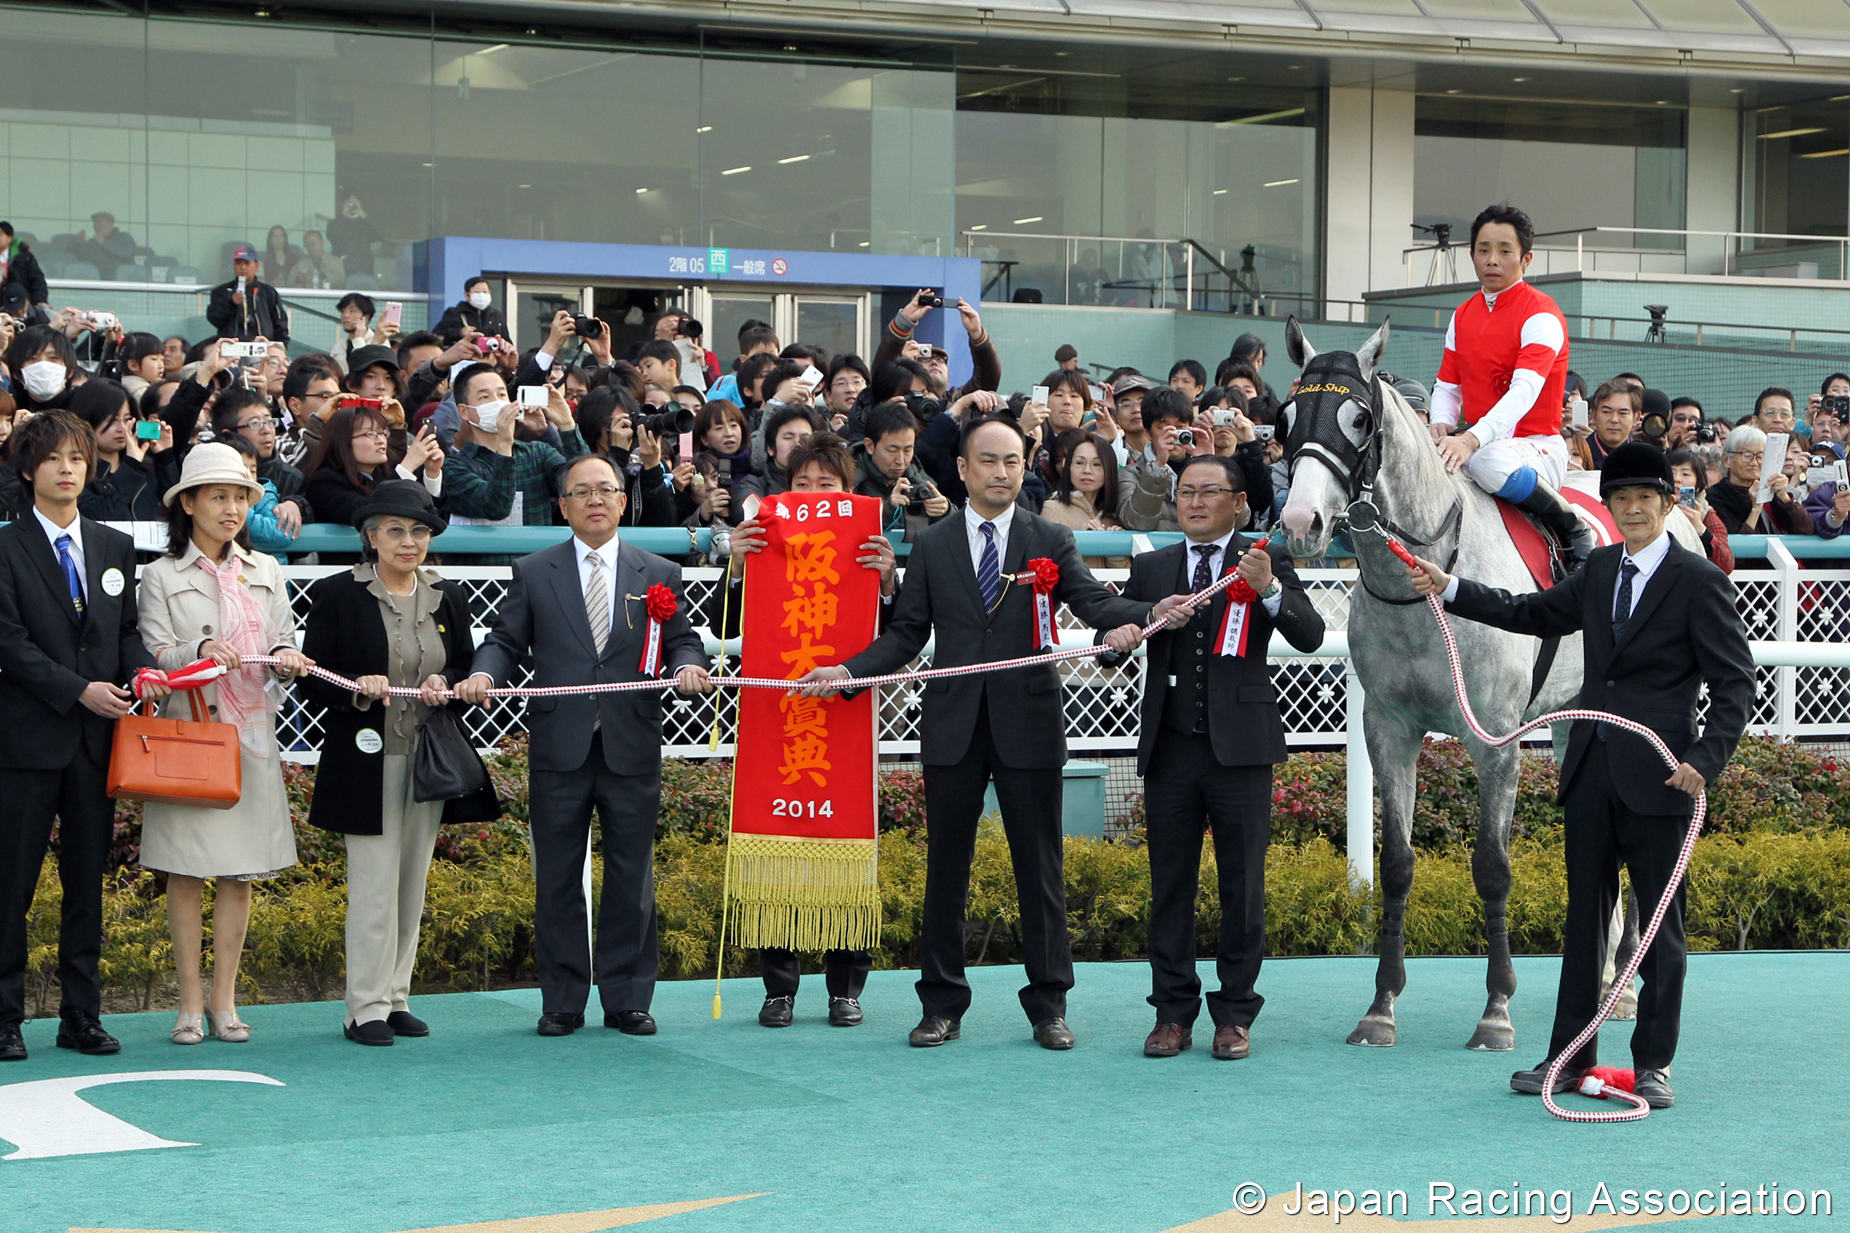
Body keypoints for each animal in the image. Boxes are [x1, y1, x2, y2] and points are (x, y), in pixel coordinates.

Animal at [1272, 316, 1591, 1044]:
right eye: (1284, 416)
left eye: (1359, 418)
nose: (1300, 522)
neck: (1426, 586)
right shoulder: (1390, 730)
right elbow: (1395, 865)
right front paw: (1381, 1006)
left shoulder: (1495, 739)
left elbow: (1493, 869)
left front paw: (1497, 1011)